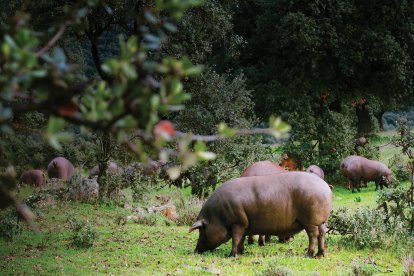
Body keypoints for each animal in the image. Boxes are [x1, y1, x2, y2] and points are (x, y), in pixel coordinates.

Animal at [189, 171, 332, 258]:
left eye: (201, 229)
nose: (195, 251)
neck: (218, 216)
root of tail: (326, 187)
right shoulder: (244, 224)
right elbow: (241, 239)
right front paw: (241, 252)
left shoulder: (237, 222)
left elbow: (235, 238)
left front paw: (231, 255)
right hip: (321, 220)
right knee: (322, 233)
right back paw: (320, 254)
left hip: (310, 220)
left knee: (313, 235)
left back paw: (309, 254)